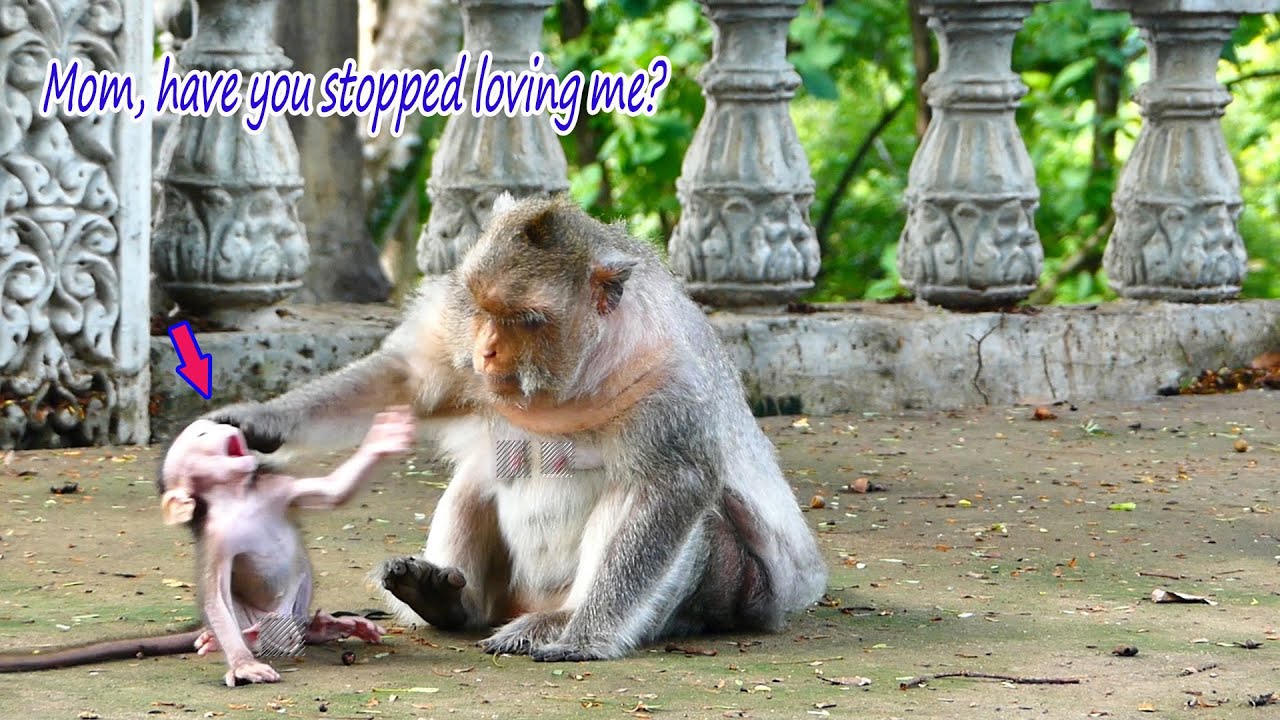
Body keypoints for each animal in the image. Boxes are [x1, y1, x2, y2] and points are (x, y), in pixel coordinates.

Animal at [0, 410, 414, 686]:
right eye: (201, 435)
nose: (233, 427)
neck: (239, 497)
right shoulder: (217, 535)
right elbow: (215, 593)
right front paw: (244, 665)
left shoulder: (276, 488)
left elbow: (334, 493)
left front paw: (383, 438)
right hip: (253, 618)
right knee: (238, 621)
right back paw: (220, 642)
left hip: (293, 613)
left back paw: (324, 628)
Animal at [201, 193, 829, 662]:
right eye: (484, 309)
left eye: (524, 319)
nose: (488, 350)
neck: (576, 375)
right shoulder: (454, 328)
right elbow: (407, 379)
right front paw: (260, 422)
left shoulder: (669, 382)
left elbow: (671, 488)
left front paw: (586, 636)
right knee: (479, 480)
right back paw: (447, 604)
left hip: (737, 588)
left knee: (682, 517)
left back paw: (559, 620)